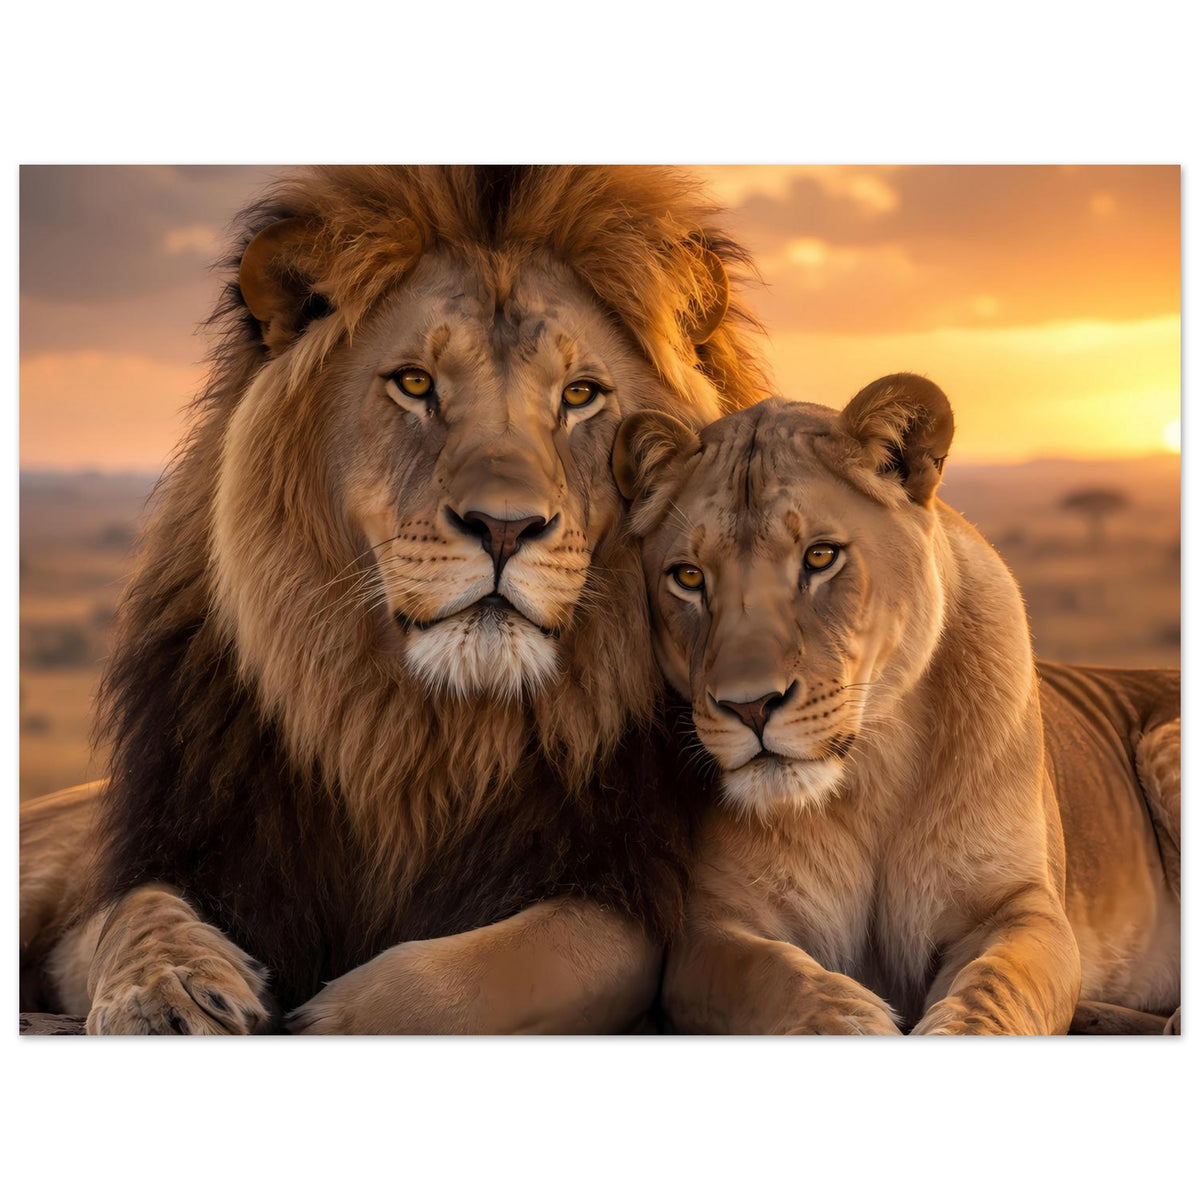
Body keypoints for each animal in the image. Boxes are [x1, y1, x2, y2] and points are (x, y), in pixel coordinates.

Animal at [19, 165, 769, 1034]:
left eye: (582, 395)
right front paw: (166, 990)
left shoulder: (624, 890)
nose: (505, 526)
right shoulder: (170, 855)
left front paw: (331, 1018)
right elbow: (133, 911)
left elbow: (500, 969)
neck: (420, 739)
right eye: (416, 385)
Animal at [613, 376, 1180, 1034]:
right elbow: (783, 980)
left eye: (820, 557)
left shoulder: (1021, 907)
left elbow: (994, 988)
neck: (870, 777)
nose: (750, 707)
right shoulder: (710, 930)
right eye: (688, 577)